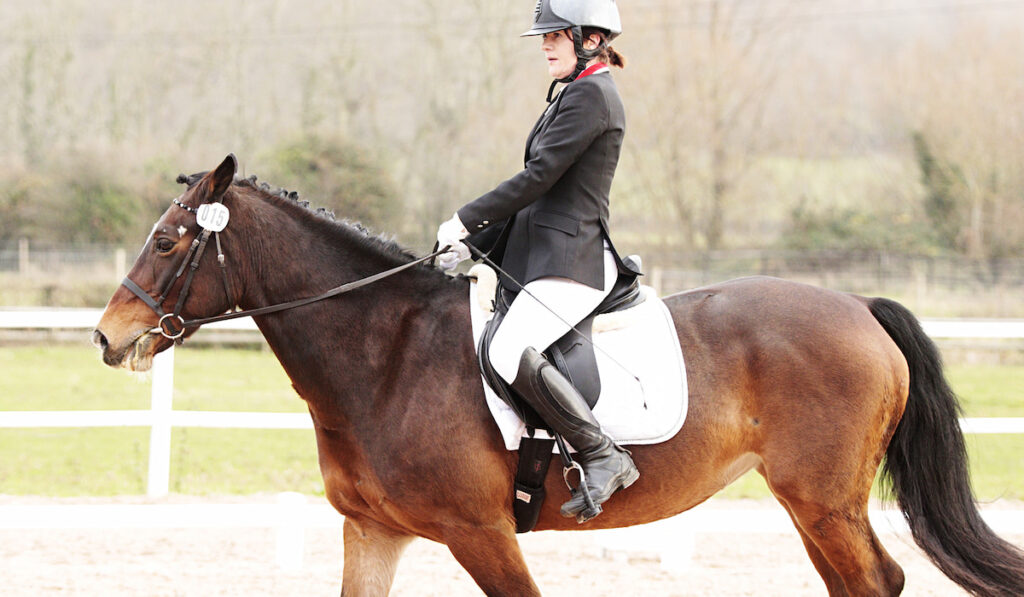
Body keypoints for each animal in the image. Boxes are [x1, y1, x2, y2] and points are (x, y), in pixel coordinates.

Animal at [96, 156, 1024, 593]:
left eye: (170, 241)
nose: (108, 338)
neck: (384, 350)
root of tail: (860, 307)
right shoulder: (374, 530)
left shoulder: (479, 532)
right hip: (815, 503)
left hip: (822, 497)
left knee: (876, 580)